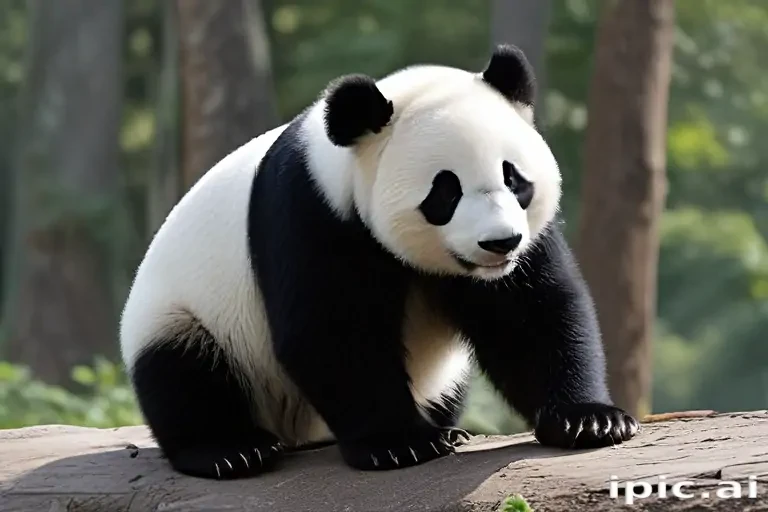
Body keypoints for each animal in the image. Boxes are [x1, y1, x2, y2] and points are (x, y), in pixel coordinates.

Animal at [120, 44, 640, 480]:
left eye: (514, 180)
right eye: (445, 191)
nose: (501, 243)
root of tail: (301, 433)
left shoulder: (523, 252)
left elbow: (531, 315)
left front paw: (589, 421)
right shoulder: (311, 212)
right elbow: (333, 329)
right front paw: (400, 443)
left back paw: (449, 428)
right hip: (185, 315)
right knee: (184, 373)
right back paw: (232, 451)